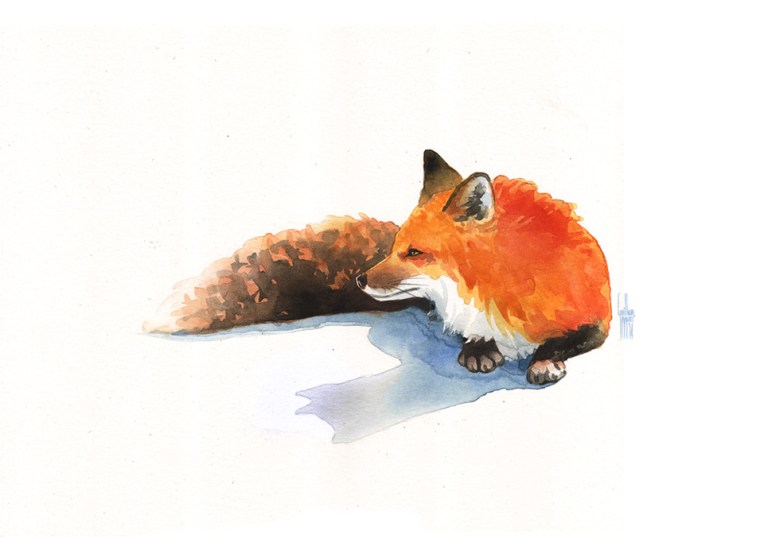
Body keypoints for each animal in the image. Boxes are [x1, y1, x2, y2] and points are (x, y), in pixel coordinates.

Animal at [145, 150, 611, 385]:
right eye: (394, 247)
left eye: (415, 253)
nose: (360, 277)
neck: (495, 287)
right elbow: (473, 333)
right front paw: (479, 347)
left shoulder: (596, 320)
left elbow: (563, 342)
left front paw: (544, 360)